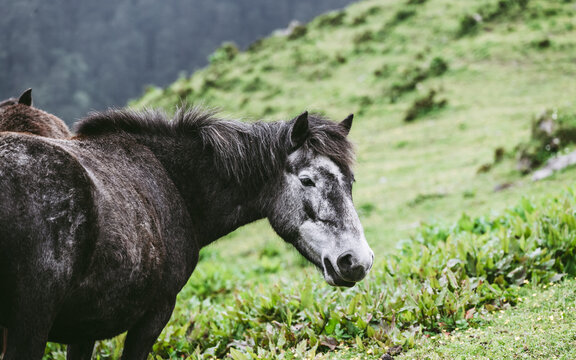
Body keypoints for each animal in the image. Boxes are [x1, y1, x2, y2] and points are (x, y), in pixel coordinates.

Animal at [0, 108, 374, 358]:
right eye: (307, 180)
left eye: (351, 181)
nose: (357, 261)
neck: (172, 178)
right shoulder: (154, 316)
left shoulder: (85, 329)